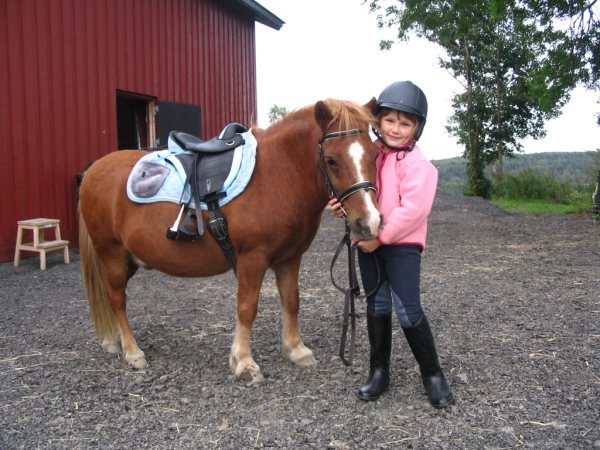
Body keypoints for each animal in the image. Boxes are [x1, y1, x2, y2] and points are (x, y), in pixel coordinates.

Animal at [78, 96, 380, 382]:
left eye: (375, 154)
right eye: (331, 160)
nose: (370, 223)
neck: (277, 175)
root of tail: (93, 171)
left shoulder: (290, 258)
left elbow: (292, 301)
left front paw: (296, 350)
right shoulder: (252, 259)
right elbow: (247, 307)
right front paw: (244, 363)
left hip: (128, 259)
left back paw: (112, 341)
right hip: (113, 254)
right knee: (117, 298)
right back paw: (132, 352)